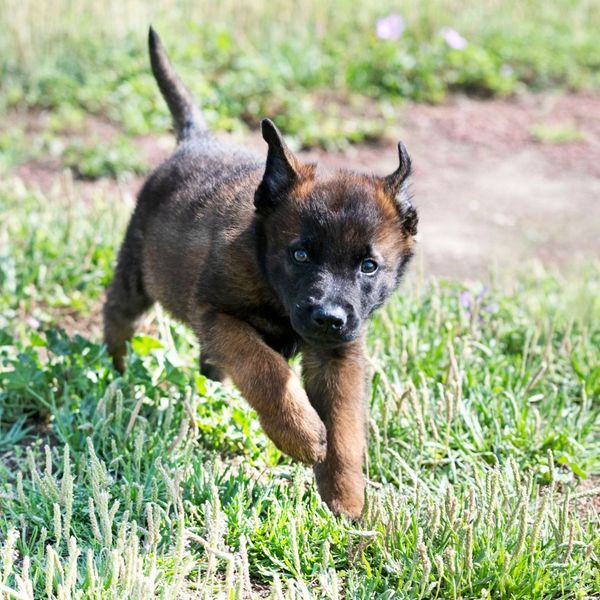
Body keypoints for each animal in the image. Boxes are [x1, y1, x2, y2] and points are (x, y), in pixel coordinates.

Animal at [103, 25, 418, 516]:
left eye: (369, 267)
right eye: (301, 255)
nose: (328, 317)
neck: (271, 283)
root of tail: (195, 139)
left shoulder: (339, 353)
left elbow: (346, 428)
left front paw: (346, 501)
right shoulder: (219, 315)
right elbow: (266, 370)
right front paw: (302, 436)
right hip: (137, 276)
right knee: (117, 315)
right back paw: (115, 371)